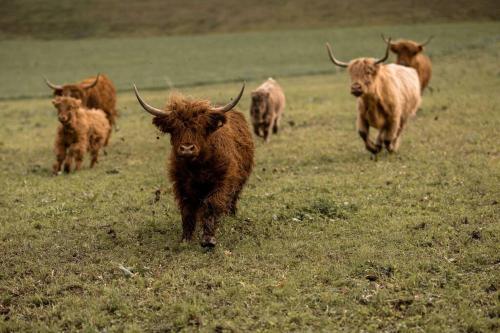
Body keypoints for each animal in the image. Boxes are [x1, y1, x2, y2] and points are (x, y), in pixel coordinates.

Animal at [134, 82, 254, 246]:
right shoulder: (181, 185)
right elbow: (187, 209)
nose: (186, 149)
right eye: (175, 129)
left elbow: (211, 204)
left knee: (232, 199)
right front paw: (186, 238)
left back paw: (230, 215)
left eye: (200, 127)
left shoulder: (222, 180)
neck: (197, 167)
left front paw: (208, 239)